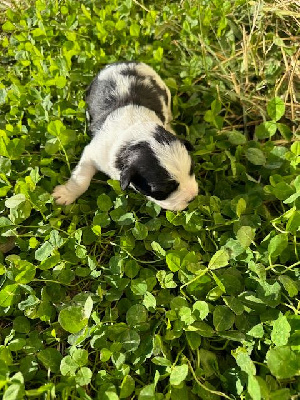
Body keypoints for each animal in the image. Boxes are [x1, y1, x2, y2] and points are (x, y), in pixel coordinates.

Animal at [52, 61, 198, 211]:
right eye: (164, 190)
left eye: (191, 170)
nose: (192, 197)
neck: (135, 133)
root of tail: (126, 63)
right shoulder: (93, 153)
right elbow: (81, 179)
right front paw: (65, 194)